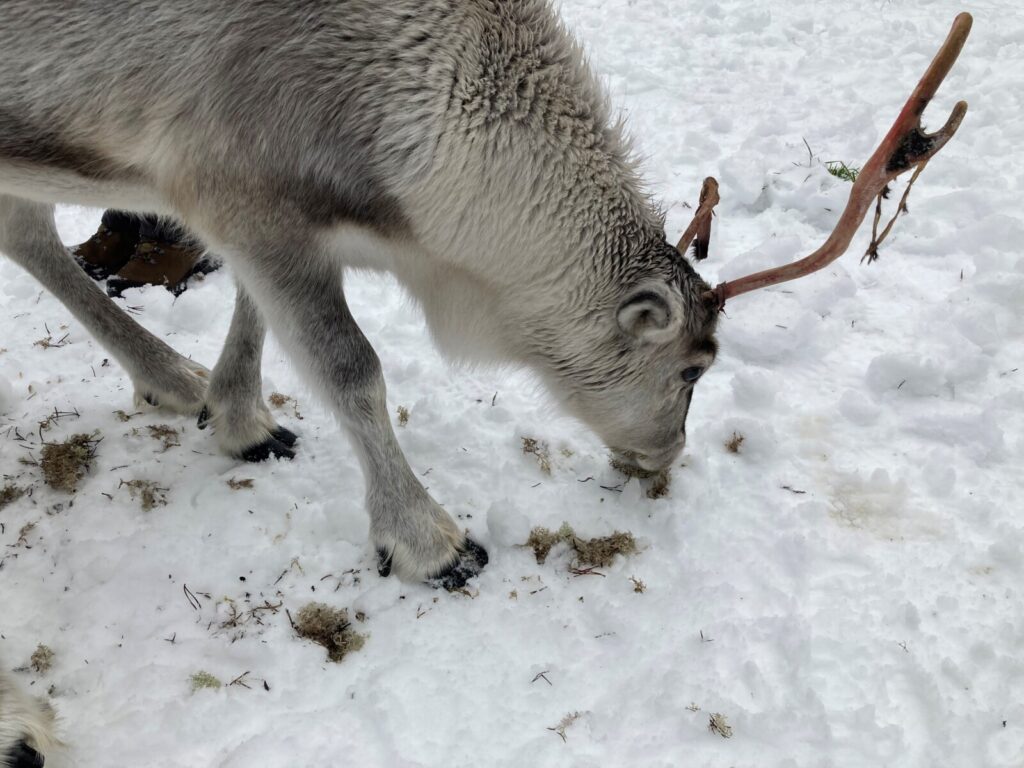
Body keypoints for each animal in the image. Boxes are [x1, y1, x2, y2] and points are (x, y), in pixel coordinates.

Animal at [0, 4, 970, 763]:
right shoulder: (237, 187)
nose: (666, 455)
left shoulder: (270, 216)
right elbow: (350, 366)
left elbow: (257, 311)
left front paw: (237, 417)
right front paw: (430, 541)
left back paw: (169, 376)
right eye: (696, 366)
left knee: (25, 227)